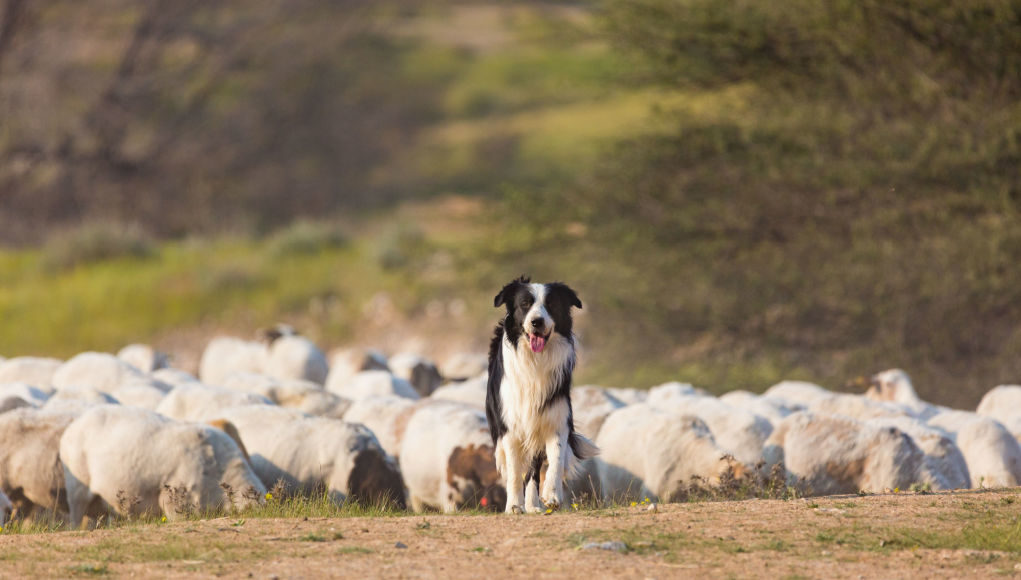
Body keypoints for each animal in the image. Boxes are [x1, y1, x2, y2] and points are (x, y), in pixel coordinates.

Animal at [485, 275, 596, 512]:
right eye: (525, 304)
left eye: (551, 304)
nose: (537, 322)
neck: (536, 360)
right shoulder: (510, 426)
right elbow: (515, 472)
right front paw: (513, 506)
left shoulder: (555, 419)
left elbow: (555, 460)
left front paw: (551, 496)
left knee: (534, 471)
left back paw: (533, 505)